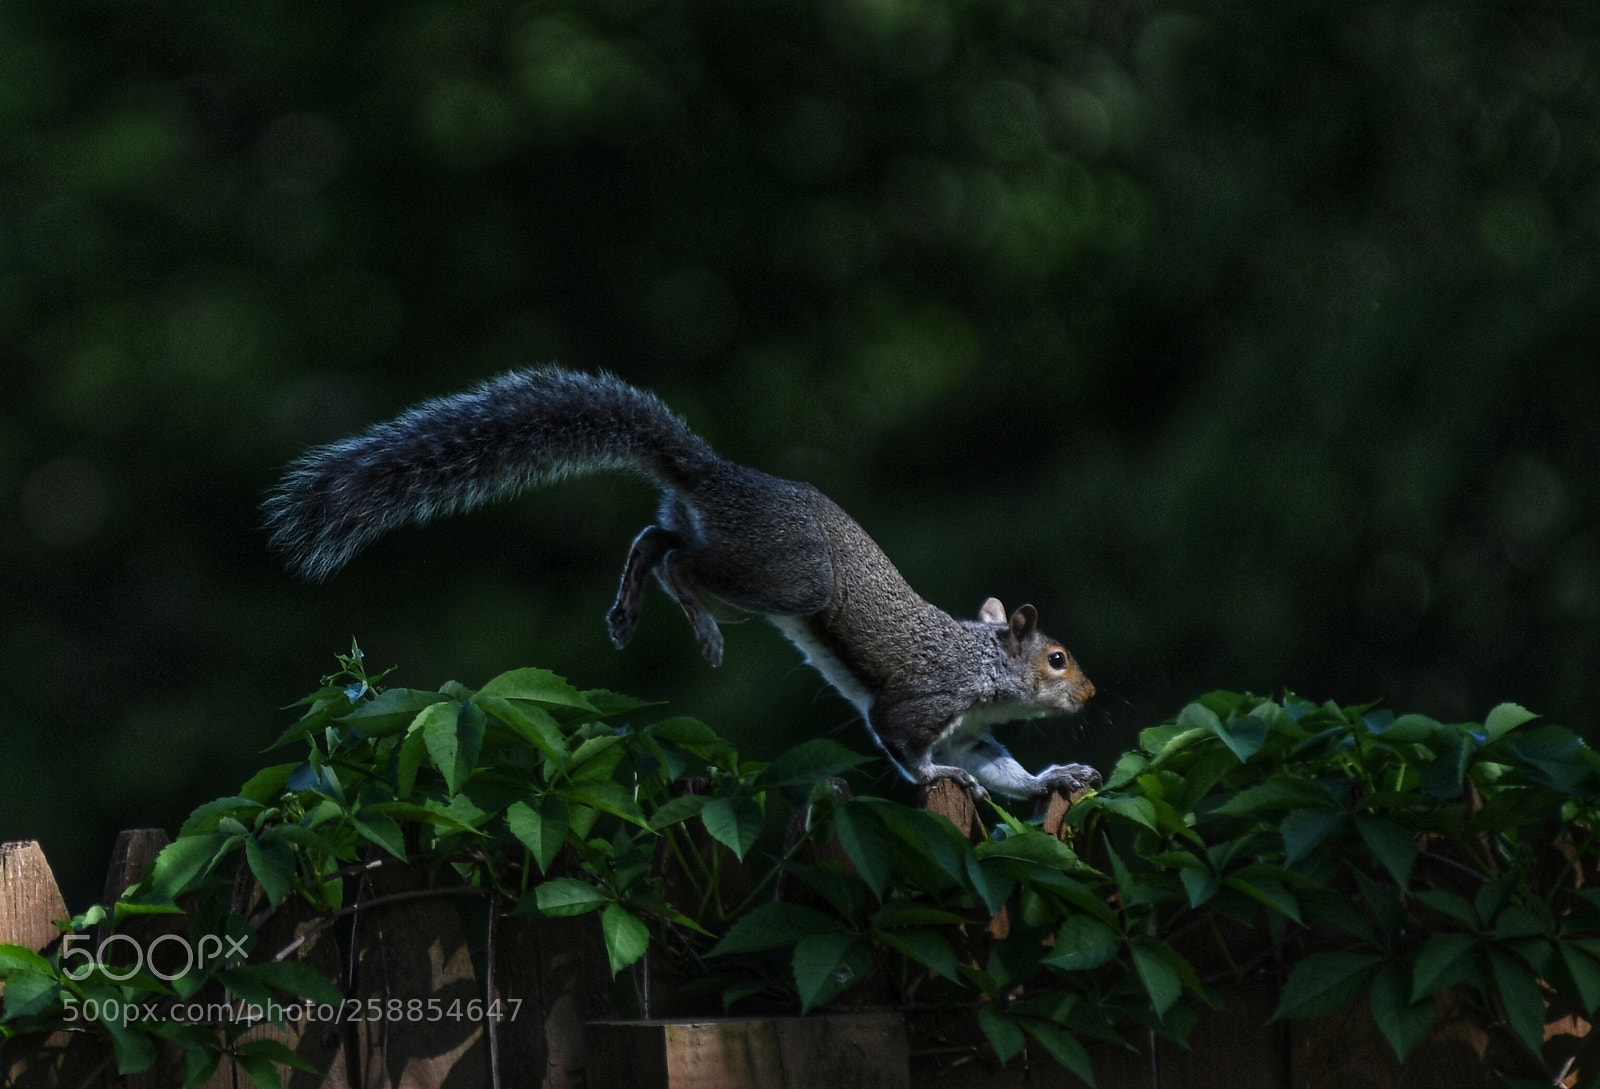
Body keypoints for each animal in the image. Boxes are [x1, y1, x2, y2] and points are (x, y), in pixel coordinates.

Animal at [264, 367, 1100, 801]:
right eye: (1056, 658)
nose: (1091, 694)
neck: (982, 663)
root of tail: (718, 476)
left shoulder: (974, 729)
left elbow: (1006, 770)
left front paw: (1056, 774)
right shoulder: (925, 701)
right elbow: (905, 742)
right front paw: (938, 777)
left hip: (721, 544)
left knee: (655, 538)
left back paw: (627, 605)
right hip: (785, 576)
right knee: (679, 562)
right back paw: (689, 618)